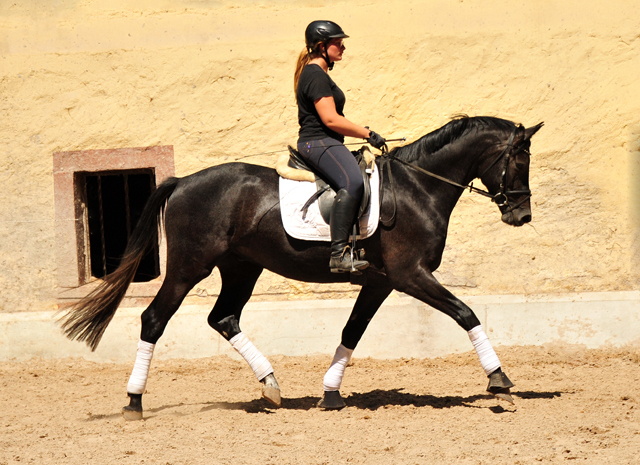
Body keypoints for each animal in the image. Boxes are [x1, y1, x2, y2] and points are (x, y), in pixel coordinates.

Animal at [60, 115, 544, 416]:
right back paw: (134, 401)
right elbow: (466, 313)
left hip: (241, 267)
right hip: (189, 266)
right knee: (155, 318)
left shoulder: (381, 281)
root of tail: (181, 183)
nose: (521, 216)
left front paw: (330, 393)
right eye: (520, 160)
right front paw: (500, 381)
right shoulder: (411, 275)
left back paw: (271, 385)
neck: (417, 187)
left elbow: (352, 331)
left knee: (224, 318)